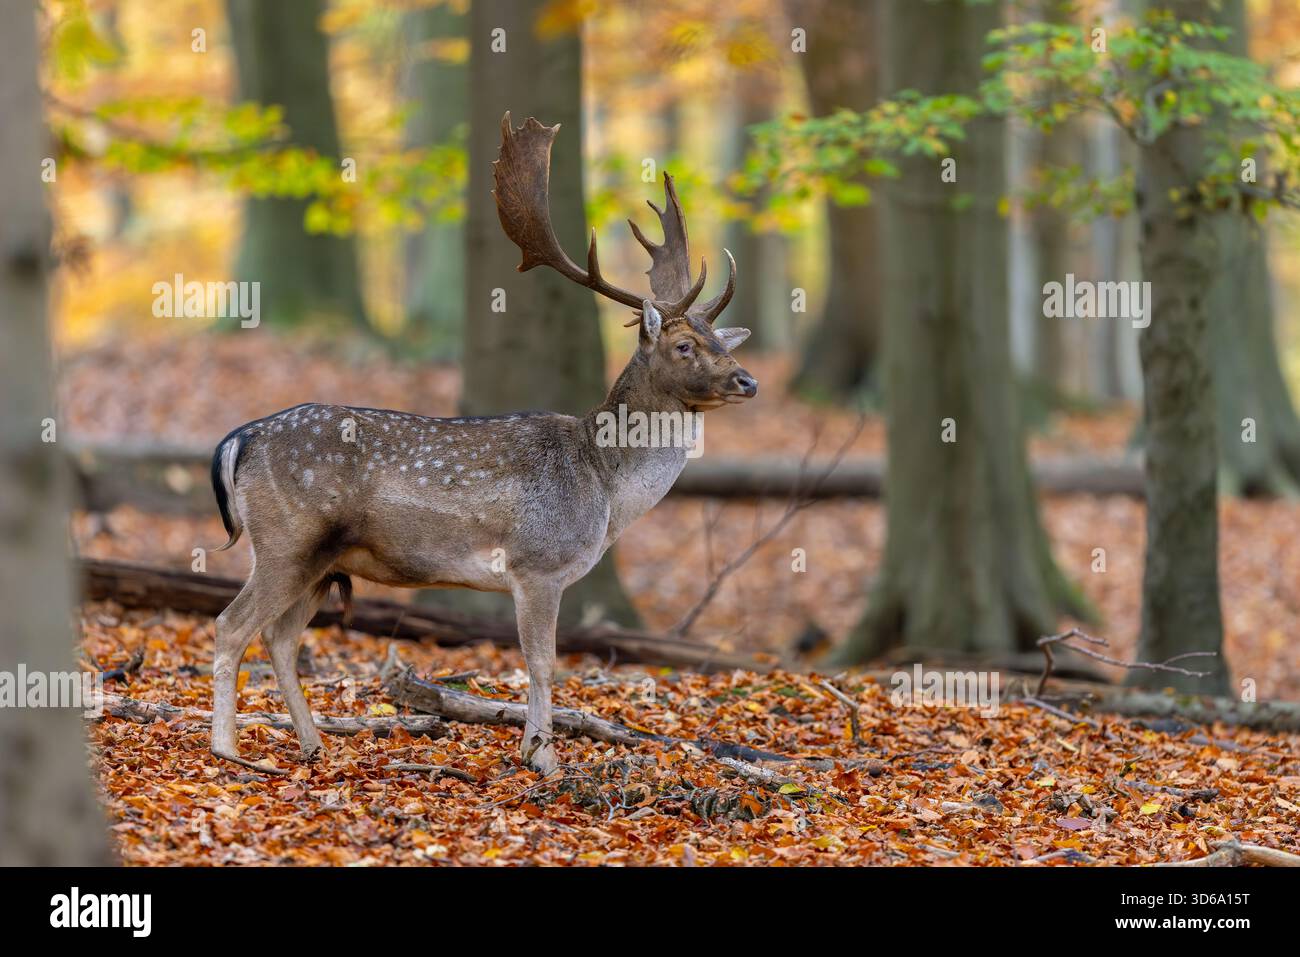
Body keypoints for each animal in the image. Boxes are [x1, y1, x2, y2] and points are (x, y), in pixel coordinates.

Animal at [207, 114, 757, 775]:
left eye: (722, 341)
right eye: (683, 346)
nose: (748, 381)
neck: (604, 487)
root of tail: (240, 438)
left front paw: (532, 751)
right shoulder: (537, 563)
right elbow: (543, 662)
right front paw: (545, 761)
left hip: (321, 560)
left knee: (280, 636)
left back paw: (314, 746)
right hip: (286, 540)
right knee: (230, 625)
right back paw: (228, 750)